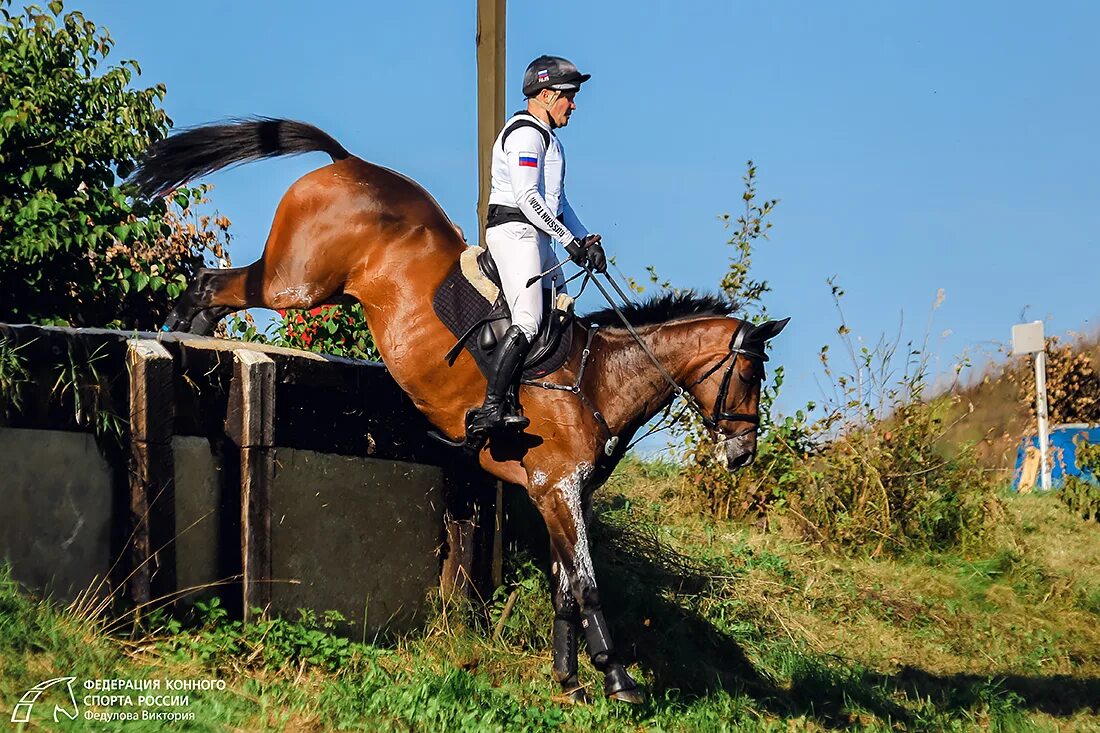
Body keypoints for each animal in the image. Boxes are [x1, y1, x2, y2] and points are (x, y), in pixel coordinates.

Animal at [130, 119, 792, 704]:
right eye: (751, 374)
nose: (742, 453)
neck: (600, 379)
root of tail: (347, 162)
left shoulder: (558, 494)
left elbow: (565, 591)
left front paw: (569, 680)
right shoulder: (558, 487)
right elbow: (587, 586)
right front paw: (616, 679)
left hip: (316, 285)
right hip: (297, 283)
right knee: (215, 281)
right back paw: (181, 331)